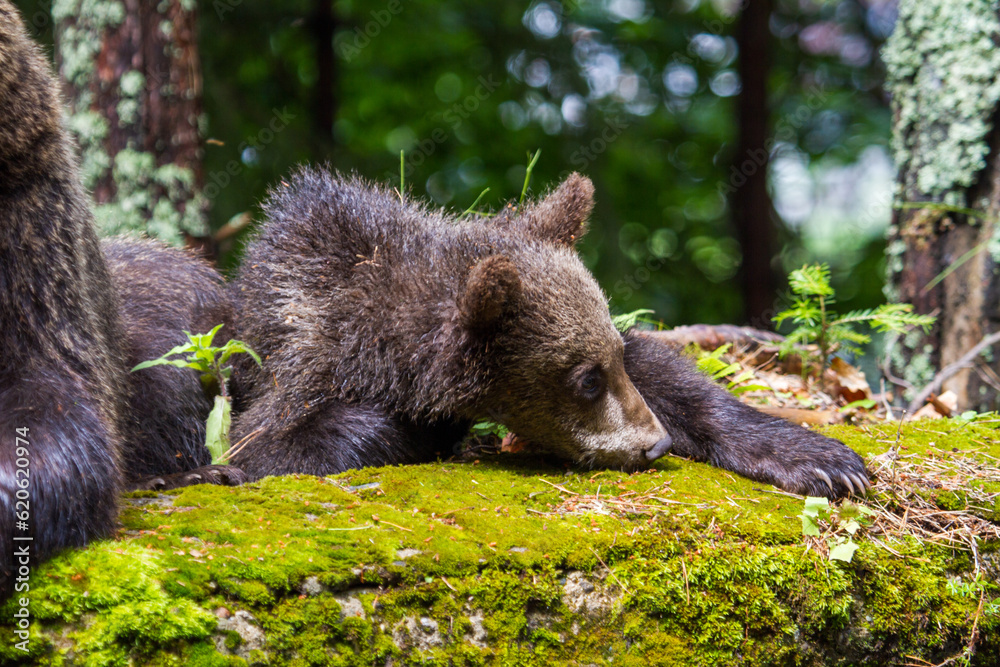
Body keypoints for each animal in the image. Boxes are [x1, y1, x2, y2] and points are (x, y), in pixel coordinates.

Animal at [227, 168, 871, 499]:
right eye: (585, 380)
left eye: (610, 362)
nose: (655, 444)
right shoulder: (298, 357)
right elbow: (267, 448)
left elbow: (674, 375)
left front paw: (823, 460)